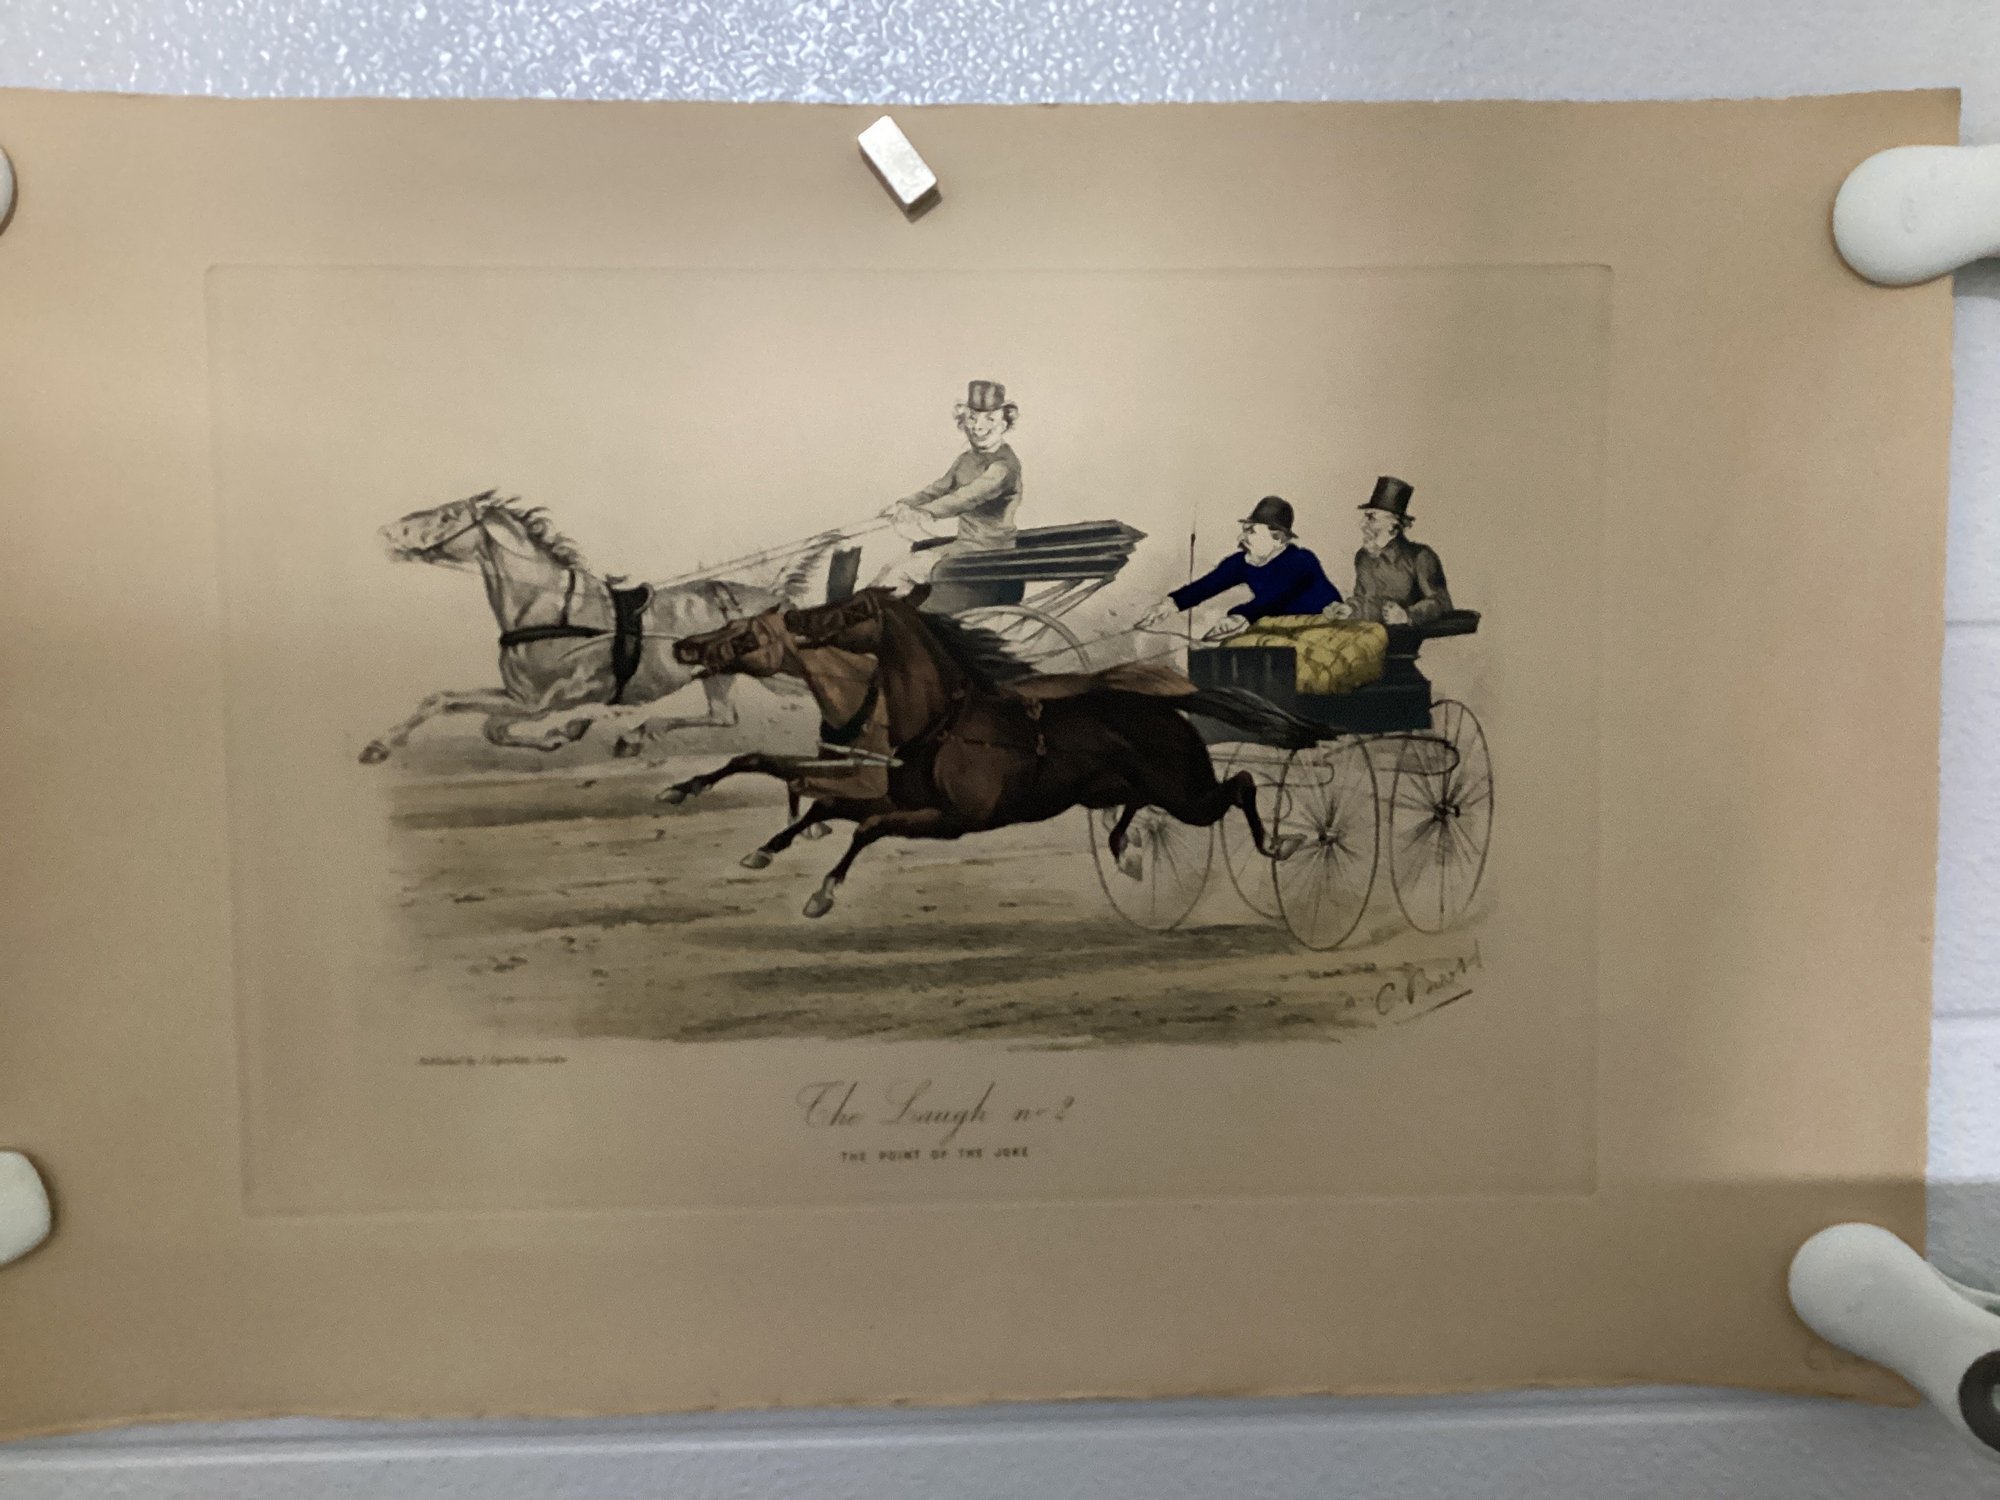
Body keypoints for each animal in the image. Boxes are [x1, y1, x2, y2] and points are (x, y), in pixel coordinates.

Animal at [361, 491, 832, 762]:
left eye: (447, 517)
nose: (387, 532)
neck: (547, 606)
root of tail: (776, 599)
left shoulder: (542, 700)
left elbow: (468, 712)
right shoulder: (521, 696)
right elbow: (468, 715)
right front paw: (562, 736)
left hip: (777, 673)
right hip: (719, 675)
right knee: (722, 717)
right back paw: (636, 736)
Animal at [664, 586, 1319, 918]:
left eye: (854, 608)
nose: (797, 617)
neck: (936, 725)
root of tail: (1167, 699)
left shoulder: (952, 819)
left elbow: (863, 825)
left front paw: (822, 890)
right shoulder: (880, 790)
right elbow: (815, 798)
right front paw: (758, 841)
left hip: (1185, 792)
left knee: (1241, 785)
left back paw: (1279, 843)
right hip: (1128, 788)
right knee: (1145, 807)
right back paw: (1125, 850)